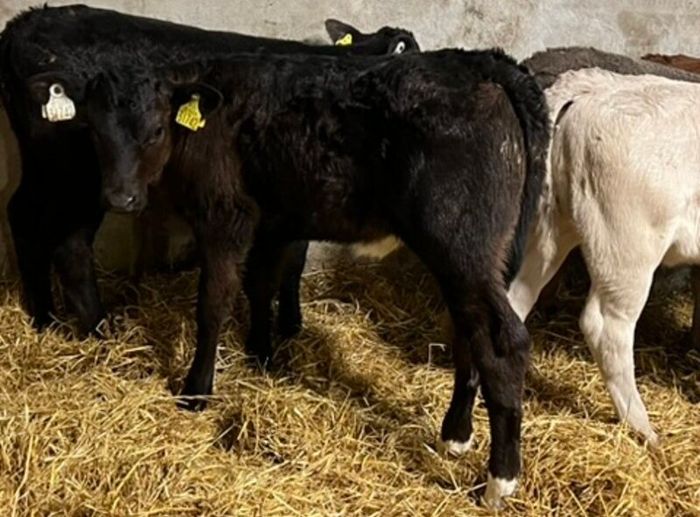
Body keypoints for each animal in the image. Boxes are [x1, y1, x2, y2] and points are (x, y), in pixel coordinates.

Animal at [0, 4, 419, 336]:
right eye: (403, 49)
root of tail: (24, 23)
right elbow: (294, 262)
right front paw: (289, 326)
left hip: (45, 162)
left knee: (22, 213)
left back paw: (43, 318)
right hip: (83, 174)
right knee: (70, 243)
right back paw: (97, 331)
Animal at [53, 48, 549, 508]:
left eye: (156, 129)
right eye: (94, 130)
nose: (120, 198)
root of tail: (480, 62)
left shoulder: (225, 219)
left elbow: (213, 303)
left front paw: (196, 390)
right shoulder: (274, 222)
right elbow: (261, 285)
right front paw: (262, 354)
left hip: (459, 245)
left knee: (503, 341)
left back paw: (499, 482)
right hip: (473, 258)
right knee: (470, 332)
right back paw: (455, 436)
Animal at [508, 67, 700, 446]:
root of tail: (595, 87)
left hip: (549, 230)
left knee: (516, 300)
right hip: (627, 247)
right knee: (606, 327)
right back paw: (643, 428)